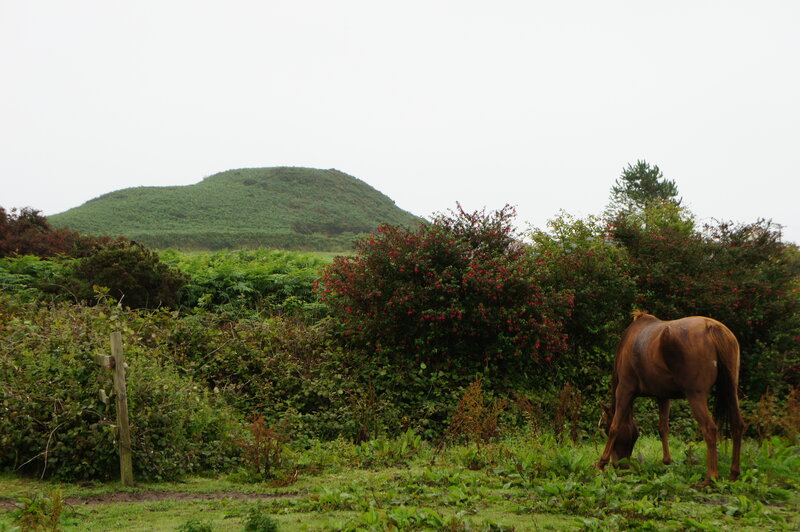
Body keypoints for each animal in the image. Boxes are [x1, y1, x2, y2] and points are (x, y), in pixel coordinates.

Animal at [596, 312, 744, 485]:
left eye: (605, 429)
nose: (621, 466)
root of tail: (713, 328)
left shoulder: (625, 389)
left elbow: (616, 426)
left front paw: (601, 463)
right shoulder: (663, 396)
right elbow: (663, 428)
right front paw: (667, 462)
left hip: (695, 395)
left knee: (709, 428)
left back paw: (710, 478)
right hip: (731, 392)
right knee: (737, 425)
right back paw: (733, 474)